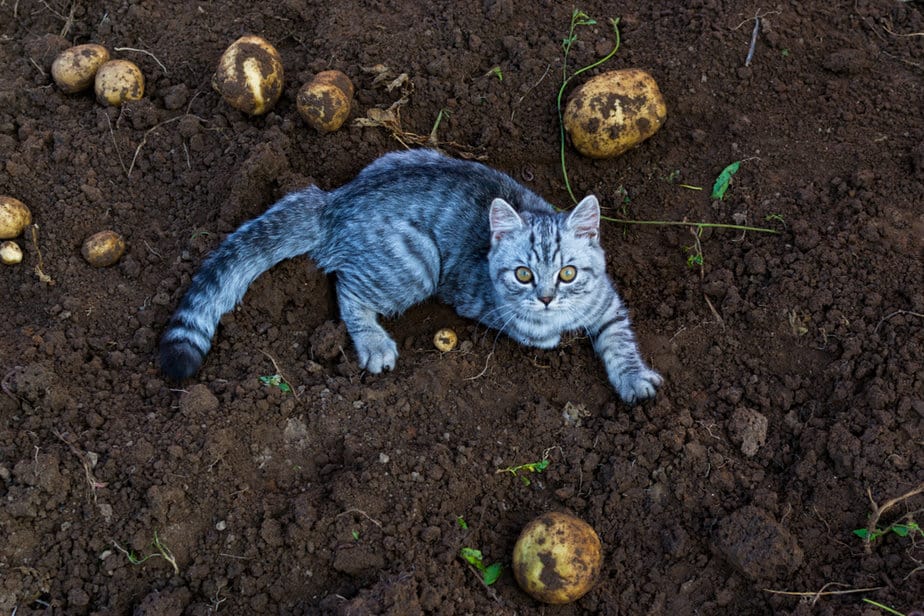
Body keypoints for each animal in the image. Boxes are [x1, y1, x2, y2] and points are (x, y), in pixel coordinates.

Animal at [161, 147, 664, 402]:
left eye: (568, 273)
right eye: (523, 275)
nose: (545, 297)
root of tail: (334, 200)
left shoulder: (609, 302)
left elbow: (620, 341)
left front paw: (634, 379)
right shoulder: (493, 306)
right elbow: (535, 332)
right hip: (416, 264)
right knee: (346, 286)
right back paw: (374, 342)